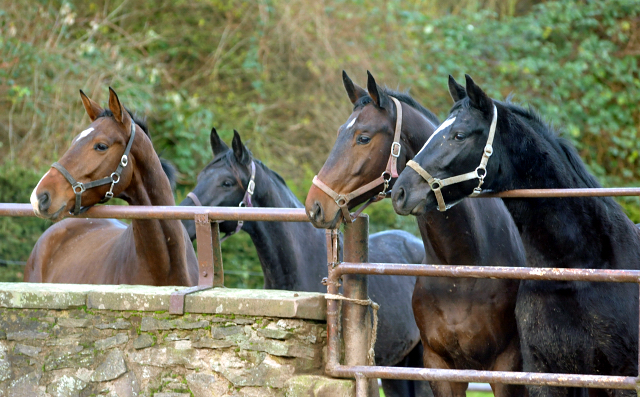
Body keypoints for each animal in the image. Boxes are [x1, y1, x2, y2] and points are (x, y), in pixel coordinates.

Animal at [304, 71, 528, 396]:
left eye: (363, 137)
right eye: (339, 133)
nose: (315, 206)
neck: (461, 269)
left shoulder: (508, 369)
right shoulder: (439, 367)